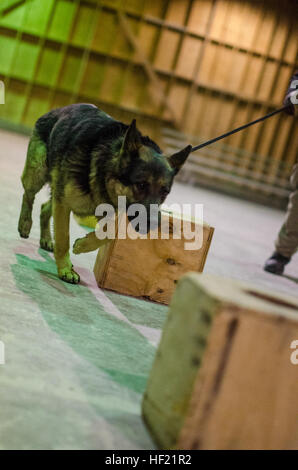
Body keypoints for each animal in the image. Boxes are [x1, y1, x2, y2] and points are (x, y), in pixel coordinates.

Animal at [18, 103, 191, 284]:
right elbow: (63, 237)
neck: (105, 167)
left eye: (165, 192)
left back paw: (46, 238)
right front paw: (65, 269)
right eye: (141, 185)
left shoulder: (105, 211)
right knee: (28, 196)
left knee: (45, 207)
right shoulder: (64, 204)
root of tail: (60, 109)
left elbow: (108, 233)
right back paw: (25, 223)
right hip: (37, 172)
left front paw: (82, 245)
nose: (153, 224)